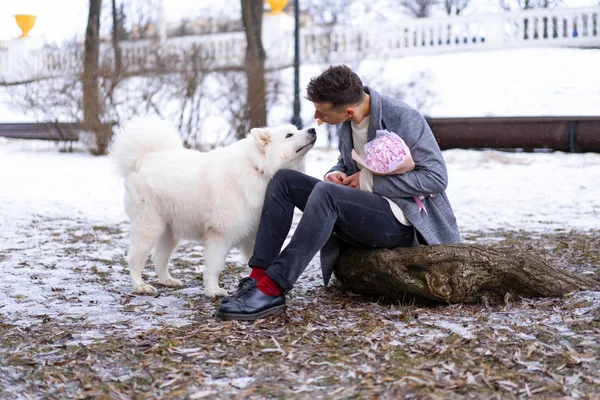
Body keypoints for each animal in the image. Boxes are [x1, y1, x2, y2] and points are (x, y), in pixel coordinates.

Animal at [110, 116, 316, 296]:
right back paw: (140, 286)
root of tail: (145, 158)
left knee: (159, 257)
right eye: (289, 135)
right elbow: (215, 266)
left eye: (296, 129)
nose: (313, 129)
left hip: (170, 231)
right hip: (150, 227)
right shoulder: (220, 234)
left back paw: (167, 280)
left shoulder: (256, 233)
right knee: (135, 259)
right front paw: (213, 291)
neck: (259, 169)